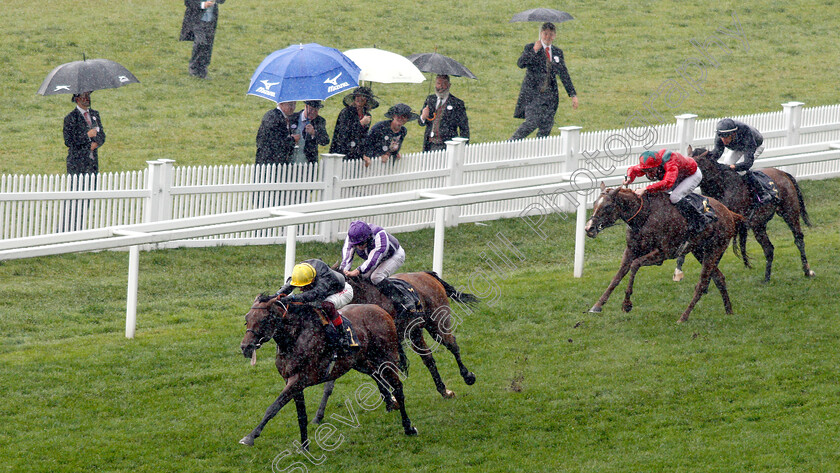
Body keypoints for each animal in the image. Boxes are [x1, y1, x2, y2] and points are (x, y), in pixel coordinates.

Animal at [240, 296, 416, 446]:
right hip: (361, 362)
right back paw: (391, 403)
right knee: (378, 376)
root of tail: (381, 310)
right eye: (247, 319)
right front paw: (305, 447)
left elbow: (274, 407)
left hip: (387, 357)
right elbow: (301, 415)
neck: (295, 338)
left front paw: (249, 437)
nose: (245, 347)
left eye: (263, 319)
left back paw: (408, 427)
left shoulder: (299, 379)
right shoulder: (292, 381)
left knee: (398, 387)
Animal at [314, 272, 480, 422]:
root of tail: (426, 273)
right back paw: (443, 390)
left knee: (452, 345)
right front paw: (319, 415)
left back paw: (467, 376)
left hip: (437, 323)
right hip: (415, 331)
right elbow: (366, 375)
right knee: (428, 357)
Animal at [584, 183, 748, 322]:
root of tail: (730, 214)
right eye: (595, 204)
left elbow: (635, 265)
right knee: (719, 278)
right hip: (700, 251)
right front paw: (597, 305)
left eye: (607, 207)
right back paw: (729, 311)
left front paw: (626, 304)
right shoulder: (630, 250)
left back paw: (683, 317)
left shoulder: (662, 254)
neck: (644, 216)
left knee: (702, 284)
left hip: (713, 251)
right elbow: (618, 276)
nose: (588, 228)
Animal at [676, 146, 812, 282]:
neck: (722, 187)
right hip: (759, 224)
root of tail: (784, 173)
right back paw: (766, 279)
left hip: (790, 212)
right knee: (769, 248)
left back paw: (807, 270)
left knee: (798, 238)